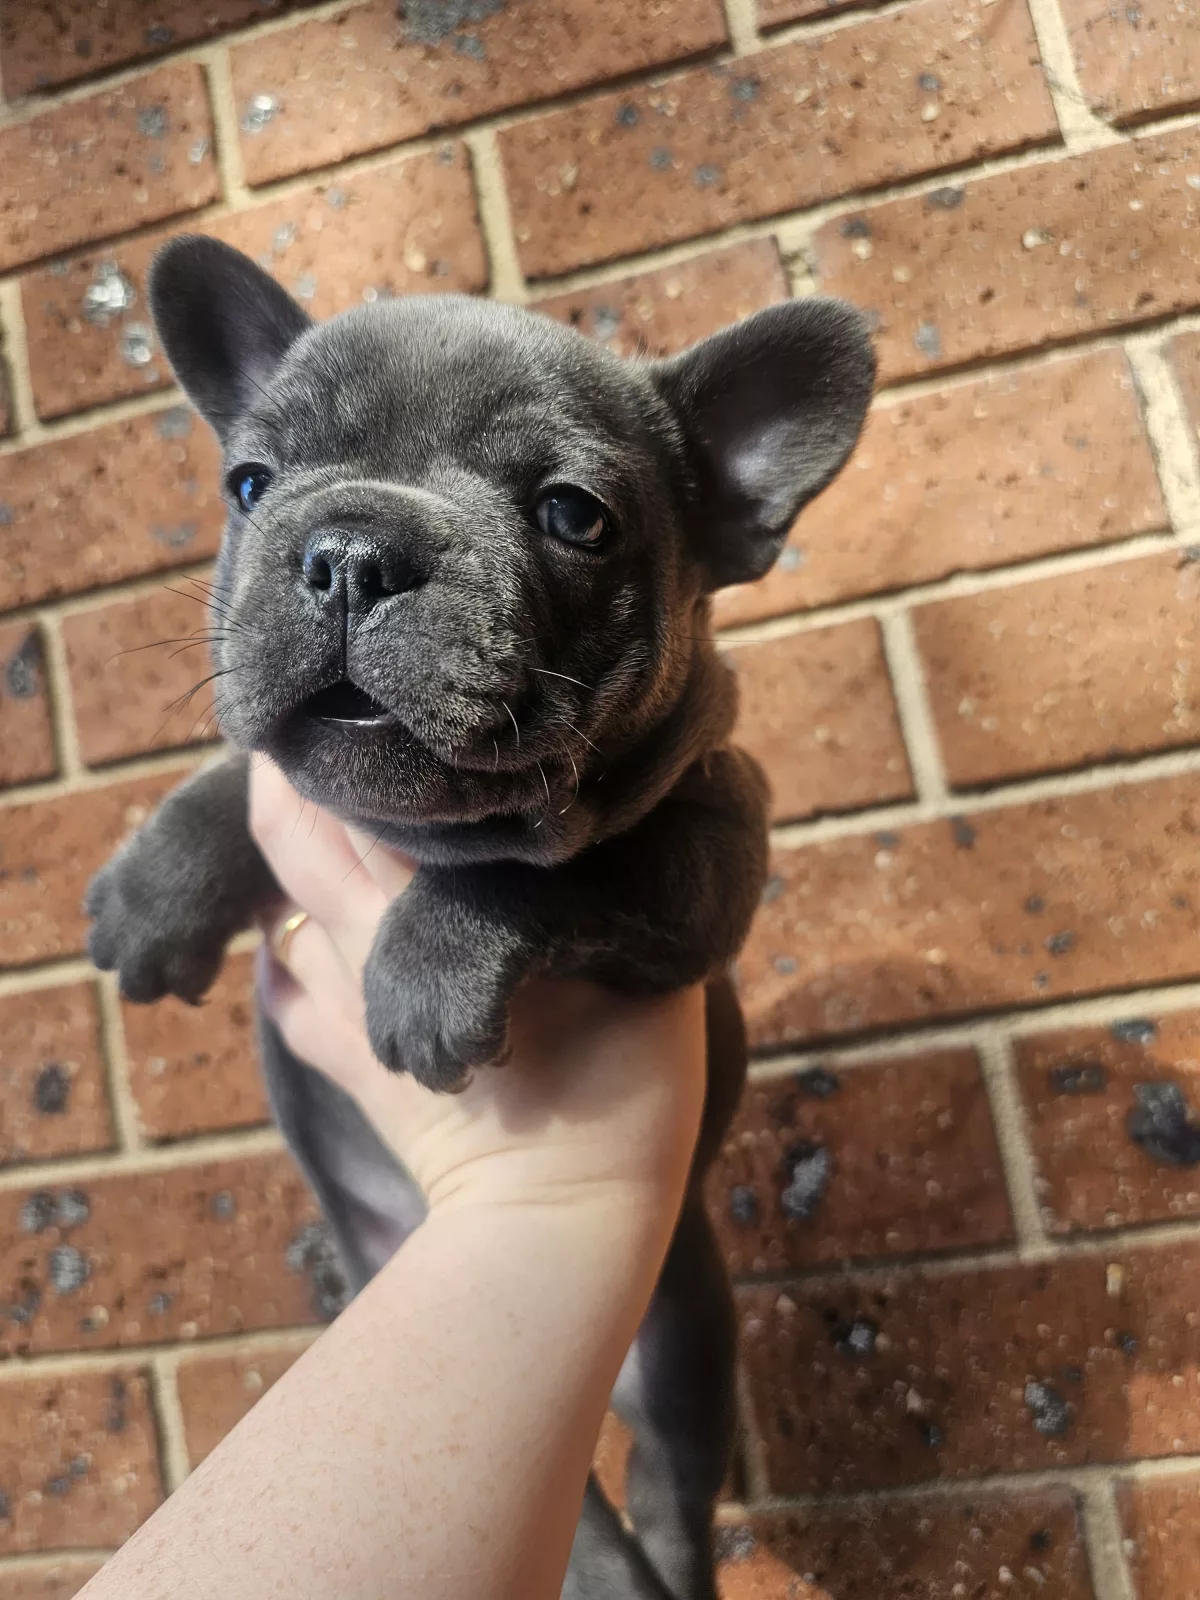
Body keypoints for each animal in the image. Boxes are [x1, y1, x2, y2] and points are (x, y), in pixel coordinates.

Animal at [86, 234, 874, 1599]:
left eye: (572, 513)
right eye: (249, 482)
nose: (349, 550)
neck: (410, 832)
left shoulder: (709, 855)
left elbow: (548, 866)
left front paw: (427, 963)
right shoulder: (297, 783)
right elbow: (246, 776)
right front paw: (154, 891)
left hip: (684, 1336)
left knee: (661, 1500)